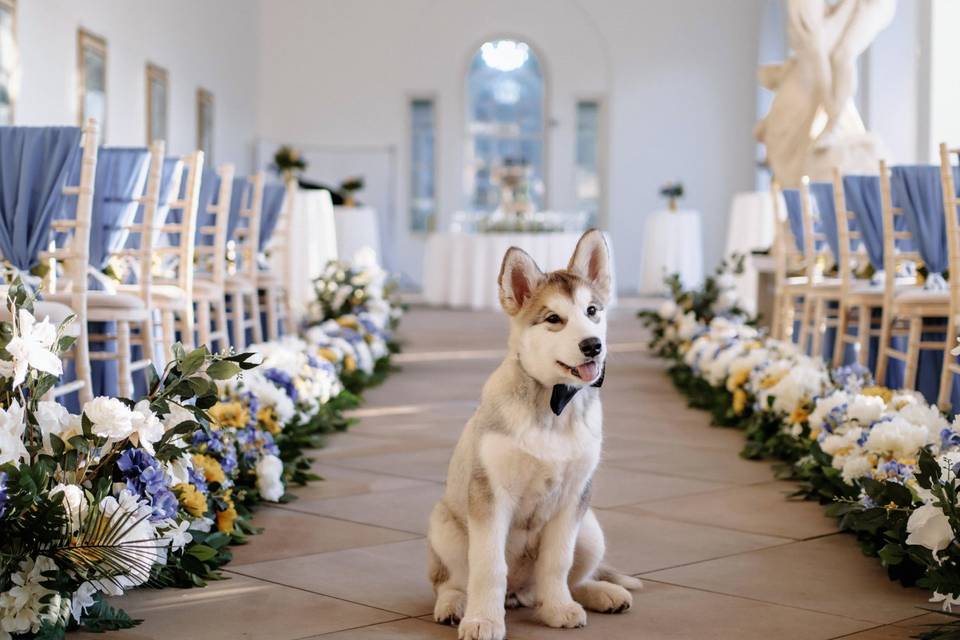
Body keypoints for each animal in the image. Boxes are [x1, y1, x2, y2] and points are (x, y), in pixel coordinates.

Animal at [430, 230, 640, 640]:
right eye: (554, 319)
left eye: (592, 311)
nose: (593, 345)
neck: (553, 406)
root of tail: (520, 594)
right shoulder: (490, 495)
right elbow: (488, 566)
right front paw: (483, 620)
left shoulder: (574, 497)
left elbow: (557, 563)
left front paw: (558, 608)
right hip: (443, 524)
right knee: (451, 581)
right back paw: (455, 605)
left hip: (591, 529)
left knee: (571, 577)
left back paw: (597, 593)